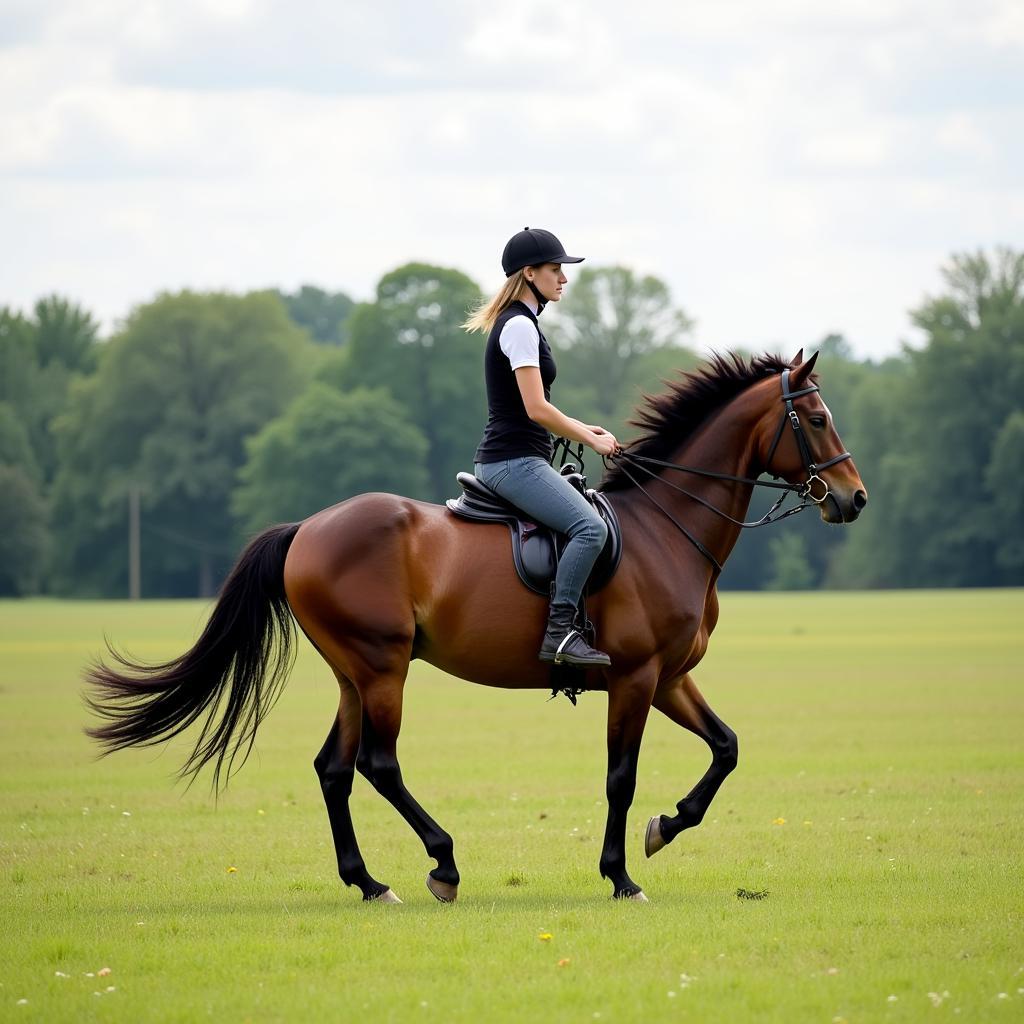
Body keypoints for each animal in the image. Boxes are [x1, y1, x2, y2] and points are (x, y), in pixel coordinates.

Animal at [88, 352, 868, 905]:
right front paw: (620, 875)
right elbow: (620, 777)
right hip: (382, 669)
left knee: (334, 769)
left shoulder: (670, 676)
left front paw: (665, 827)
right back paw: (443, 863)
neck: (663, 529)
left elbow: (726, 748)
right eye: (817, 418)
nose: (855, 499)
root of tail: (307, 528)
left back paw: (369, 882)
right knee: (378, 765)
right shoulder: (636, 677)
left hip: (353, 675)